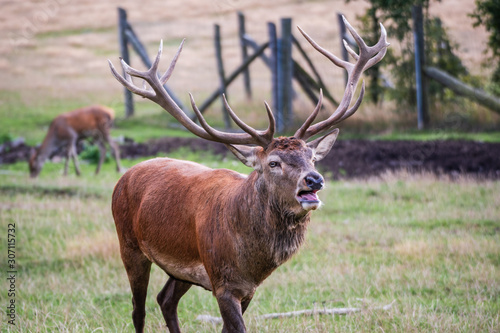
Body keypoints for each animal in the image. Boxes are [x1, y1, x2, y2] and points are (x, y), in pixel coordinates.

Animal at [109, 17, 388, 332]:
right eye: (274, 163)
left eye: (312, 157)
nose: (314, 179)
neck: (251, 261)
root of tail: (125, 176)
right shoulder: (223, 283)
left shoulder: (247, 289)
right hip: (129, 243)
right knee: (138, 309)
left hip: (182, 269)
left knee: (165, 299)